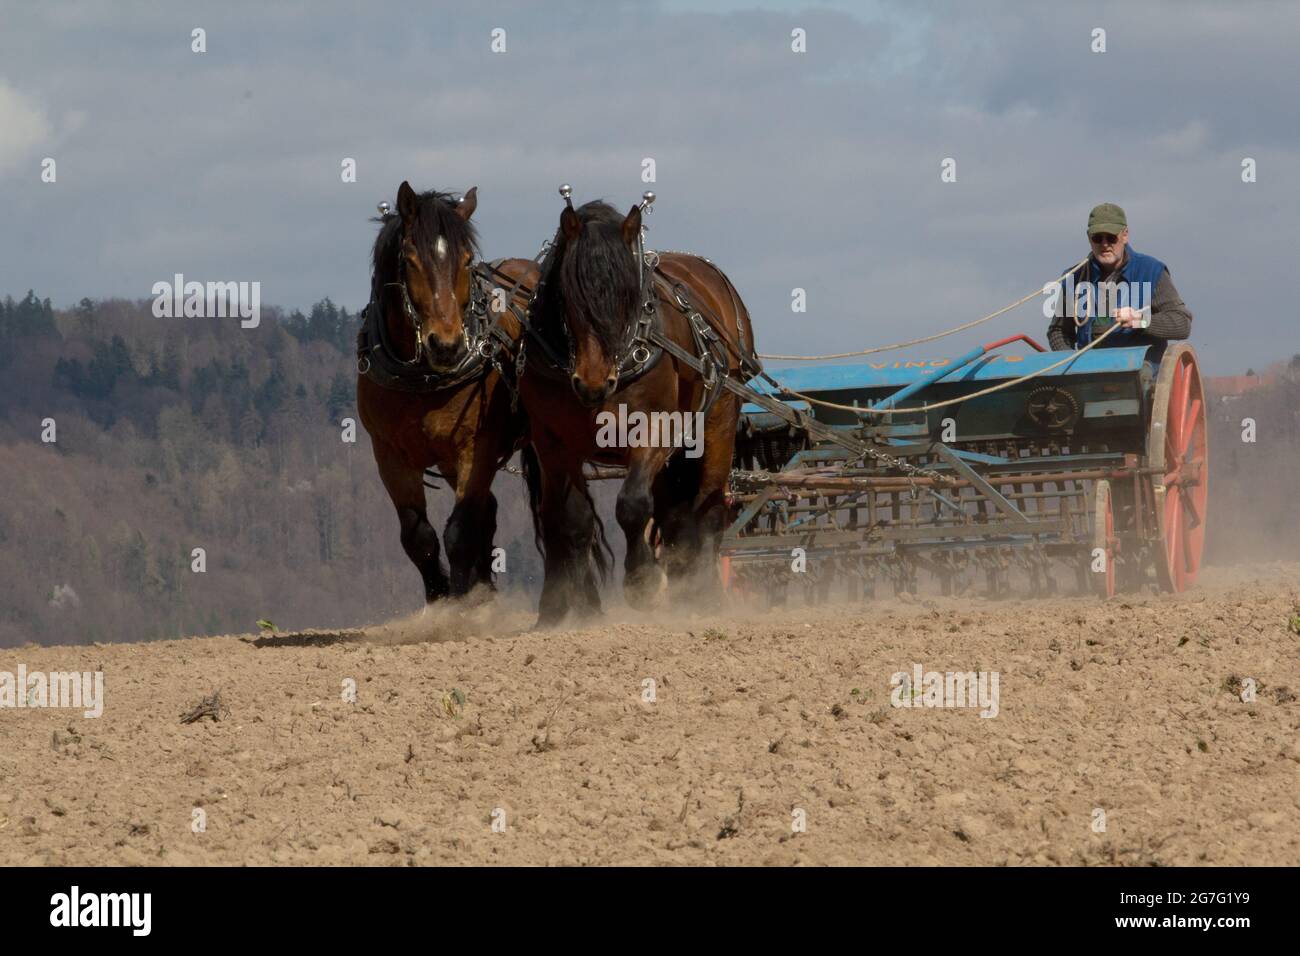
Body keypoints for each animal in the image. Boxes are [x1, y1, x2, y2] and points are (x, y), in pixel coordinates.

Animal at [356, 182, 537, 605]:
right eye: (410, 260)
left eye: (466, 260)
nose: (447, 345)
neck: (421, 378)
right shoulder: (389, 454)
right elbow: (417, 537)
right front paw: (441, 599)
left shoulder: (475, 448)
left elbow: (461, 531)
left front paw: (460, 603)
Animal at [517, 195, 758, 627]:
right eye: (568, 296)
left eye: (629, 298)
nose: (594, 383)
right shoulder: (553, 443)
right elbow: (571, 518)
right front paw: (560, 610)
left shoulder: (654, 429)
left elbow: (631, 505)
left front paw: (642, 583)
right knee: (674, 514)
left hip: (719, 417)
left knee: (709, 506)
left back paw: (705, 593)